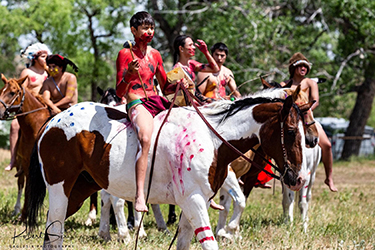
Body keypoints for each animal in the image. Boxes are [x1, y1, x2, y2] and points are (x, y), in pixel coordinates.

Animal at [25, 90, 310, 250]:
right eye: (291, 131)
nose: (298, 178)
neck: (212, 137)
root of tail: (53, 120)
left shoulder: (193, 203)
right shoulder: (194, 201)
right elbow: (211, 241)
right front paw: (227, 231)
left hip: (78, 191)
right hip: (60, 189)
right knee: (56, 233)